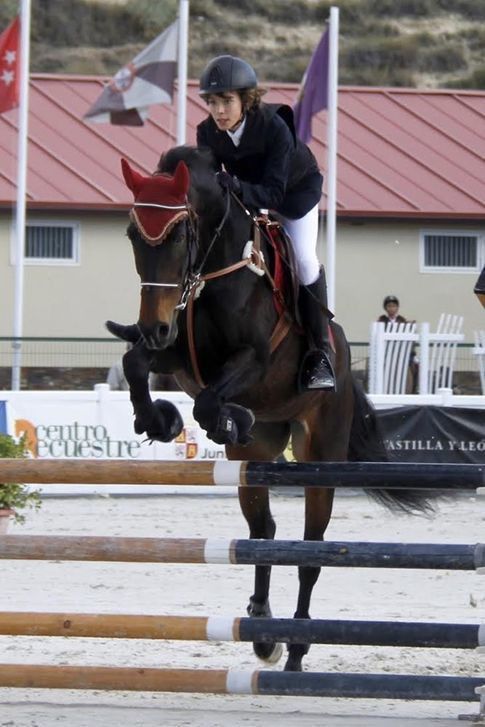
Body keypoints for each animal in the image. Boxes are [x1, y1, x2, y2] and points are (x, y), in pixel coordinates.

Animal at [108, 145, 430, 672]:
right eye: (134, 235)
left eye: (179, 234)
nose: (152, 326)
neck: (214, 268)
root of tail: (346, 363)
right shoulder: (177, 355)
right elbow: (136, 364)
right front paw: (159, 419)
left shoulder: (254, 360)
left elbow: (208, 401)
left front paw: (219, 419)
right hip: (254, 461)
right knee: (263, 529)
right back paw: (261, 625)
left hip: (322, 454)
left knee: (311, 551)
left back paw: (295, 647)